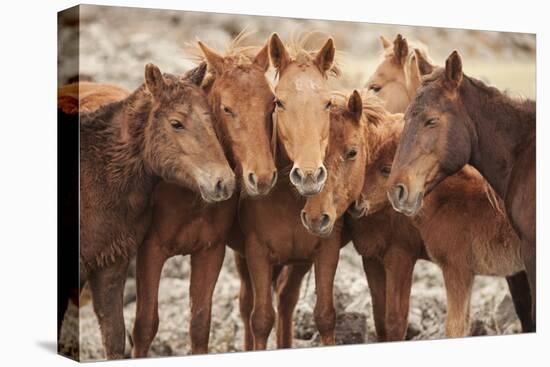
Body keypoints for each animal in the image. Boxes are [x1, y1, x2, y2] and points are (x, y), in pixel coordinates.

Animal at [129, 37, 276, 356]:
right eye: (227, 108)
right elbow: (144, 326)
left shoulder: (210, 251)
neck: (189, 196)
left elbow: (199, 325)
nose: (262, 178)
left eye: (273, 105)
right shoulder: (150, 251)